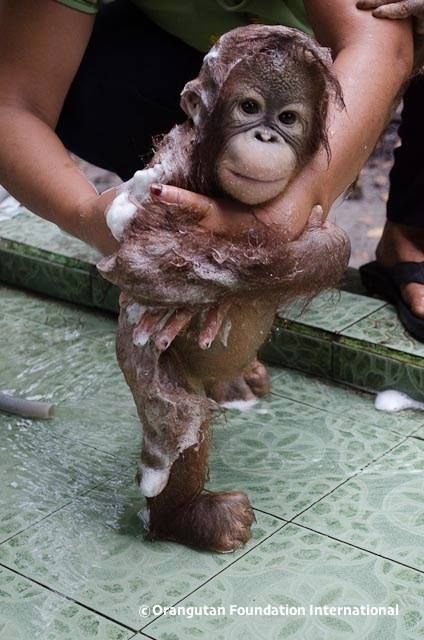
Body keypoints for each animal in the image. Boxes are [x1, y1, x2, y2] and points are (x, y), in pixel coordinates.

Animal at [98, 25, 351, 552]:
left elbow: (324, 241)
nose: (265, 134)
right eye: (249, 108)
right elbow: (143, 256)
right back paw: (189, 518)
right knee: (180, 423)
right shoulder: (167, 175)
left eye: (288, 117)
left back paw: (238, 382)